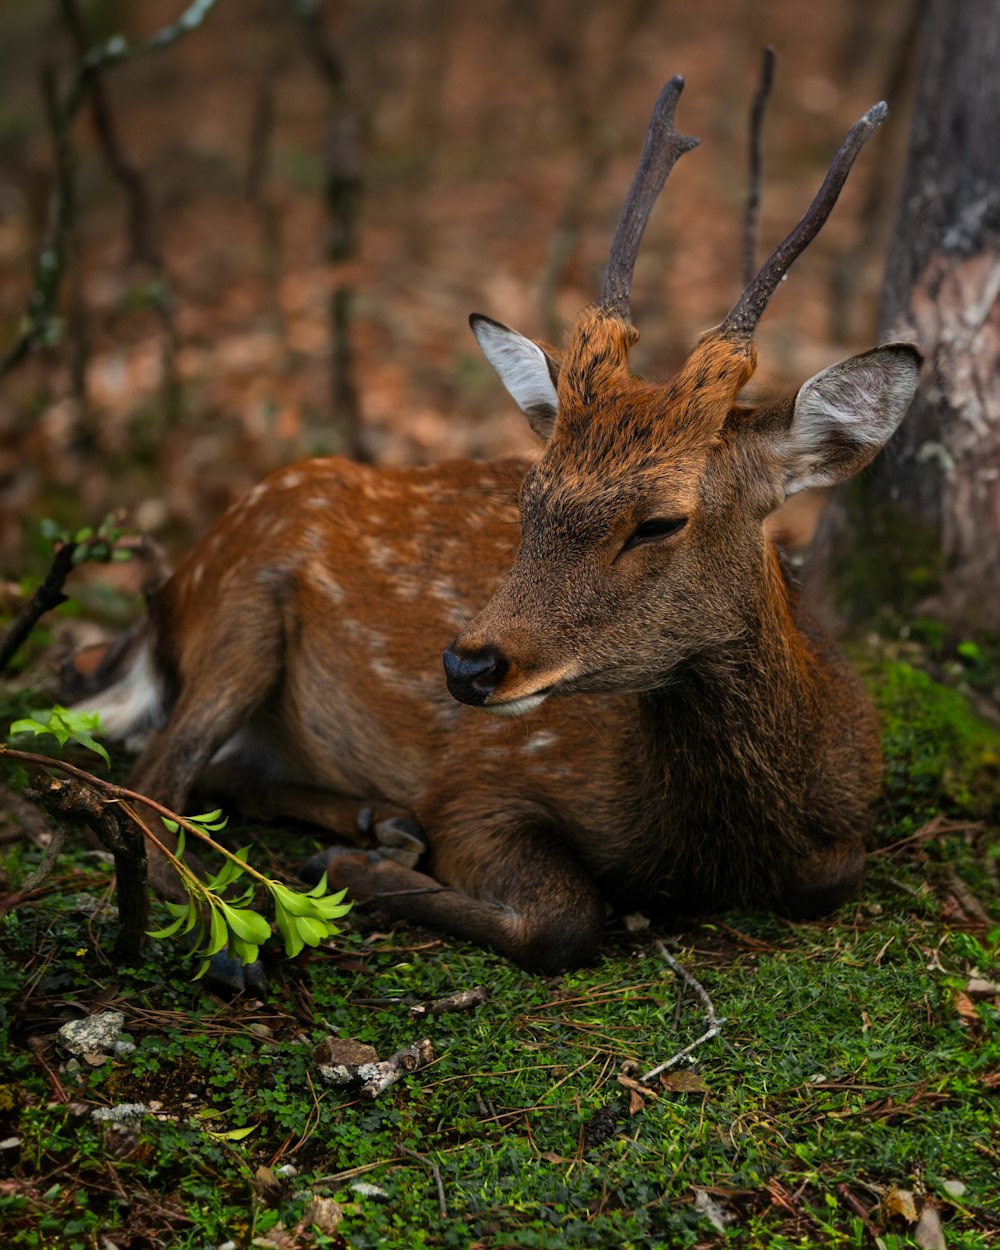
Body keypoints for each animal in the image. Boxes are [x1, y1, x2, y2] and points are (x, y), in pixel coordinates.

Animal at [76, 78, 920, 975]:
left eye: (661, 522)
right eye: (529, 493)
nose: (467, 666)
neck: (709, 844)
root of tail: (162, 601)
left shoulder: (852, 816)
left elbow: (831, 876)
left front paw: (366, 849)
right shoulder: (480, 782)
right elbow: (564, 920)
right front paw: (350, 872)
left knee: (210, 772)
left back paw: (375, 823)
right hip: (241, 601)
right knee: (148, 779)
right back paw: (237, 939)